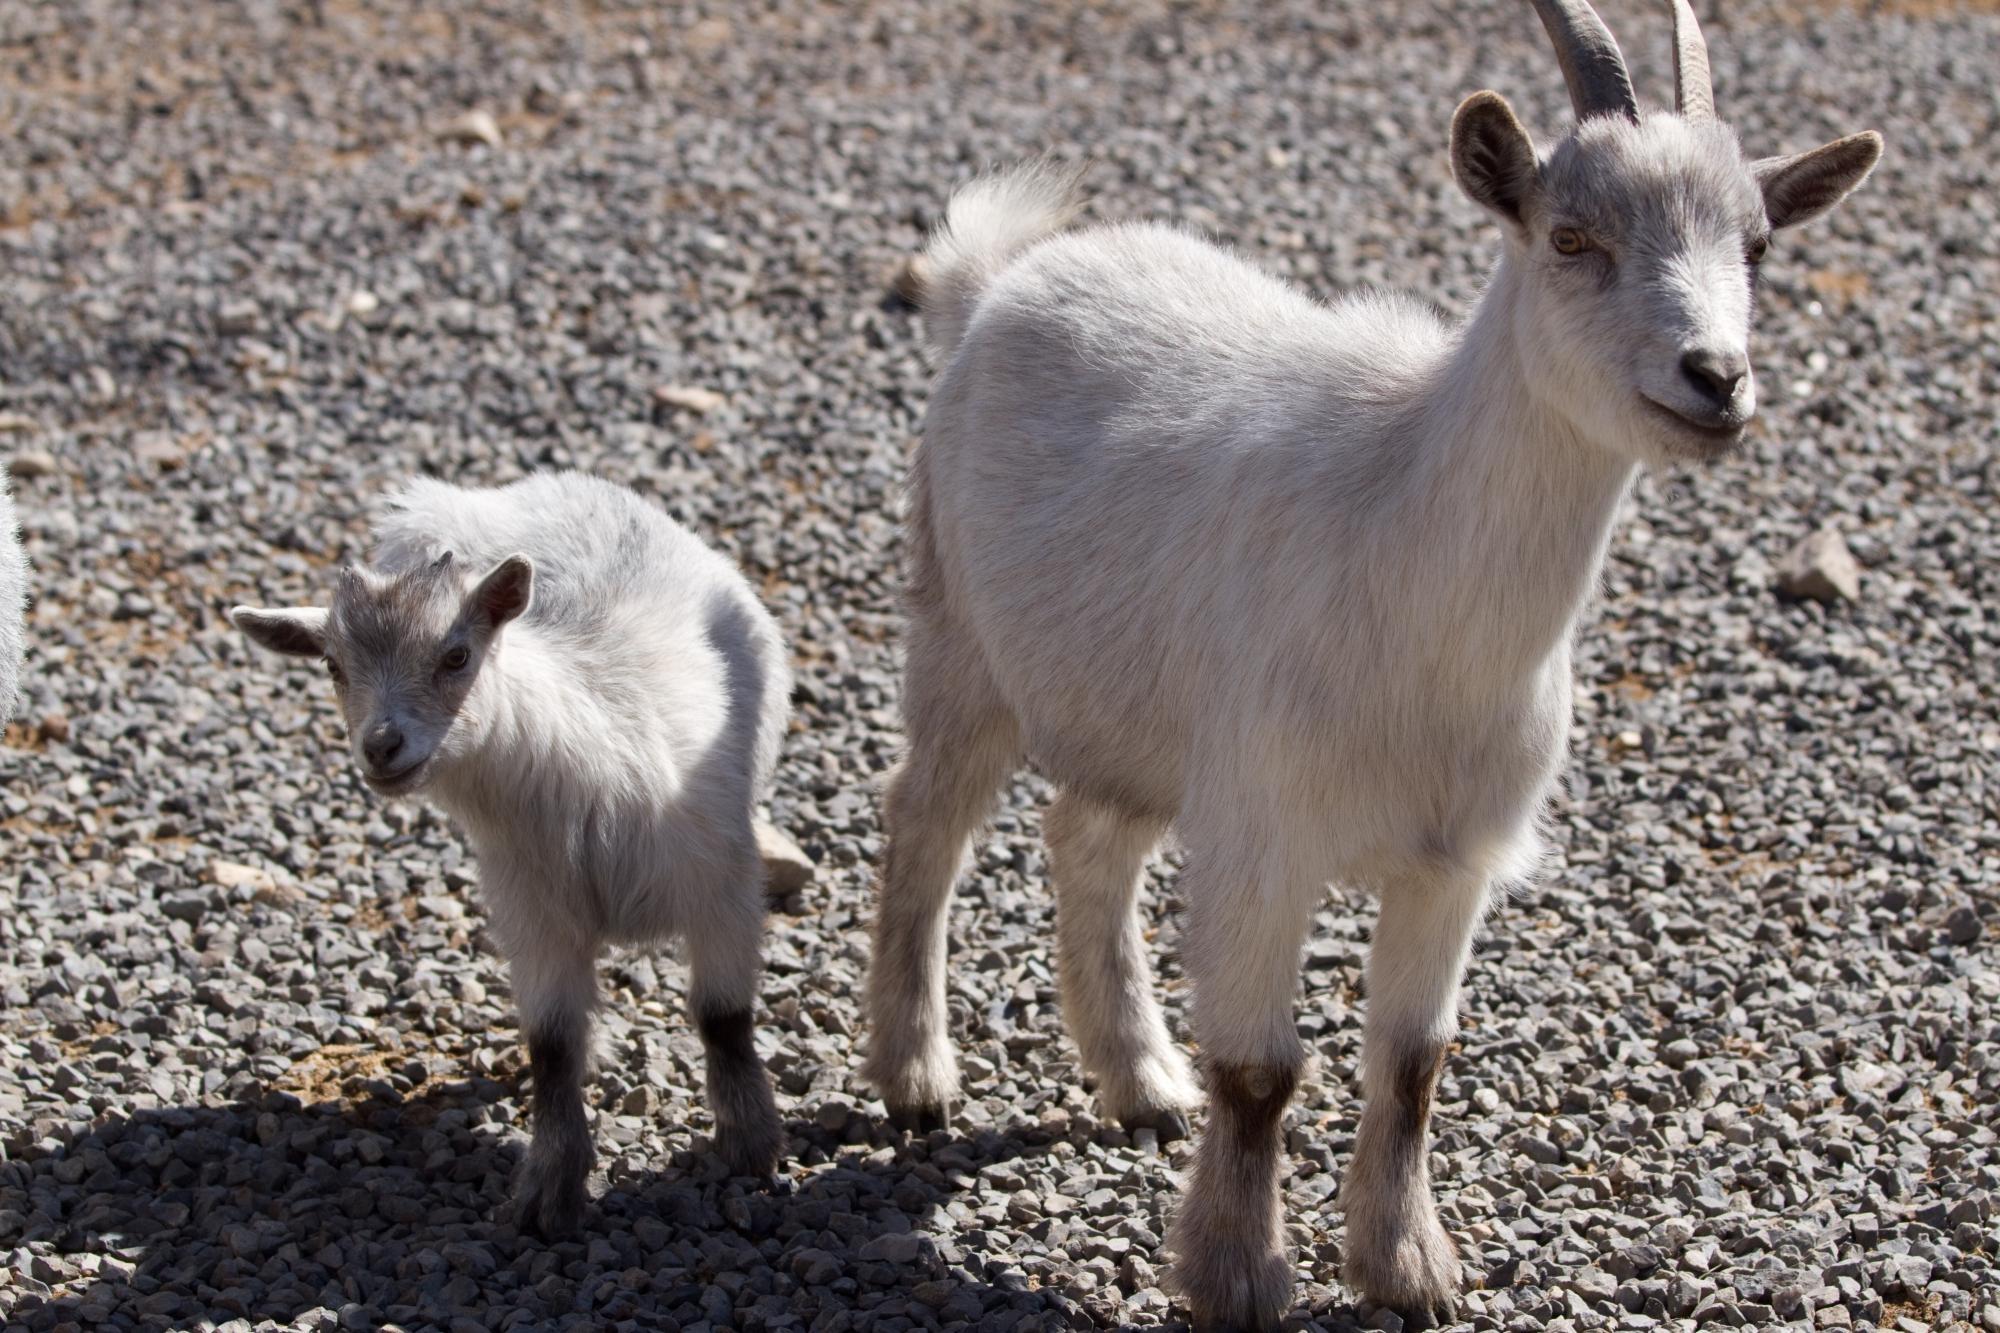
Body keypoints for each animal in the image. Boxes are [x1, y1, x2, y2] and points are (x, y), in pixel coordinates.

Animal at [232, 470, 788, 1232]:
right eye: (333, 667)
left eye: (456, 655)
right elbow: (551, 1046)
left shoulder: (721, 889)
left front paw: (750, 1143)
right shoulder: (534, 915)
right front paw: (548, 1190)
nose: (381, 748)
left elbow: (723, 1016)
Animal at [868, 2, 1880, 1320]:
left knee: (1085, 839)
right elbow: (1259, 1072)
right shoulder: (1263, 838)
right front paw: (1237, 1277)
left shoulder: (1450, 860)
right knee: (924, 827)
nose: (1715, 378)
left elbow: (1410, 1067)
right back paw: (915, 1075)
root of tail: (993, 286)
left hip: (1137, 714)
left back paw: (1140, 1081)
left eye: (1755, 245)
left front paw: (1407, 1270)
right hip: (961, 645)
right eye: (1570, 235)